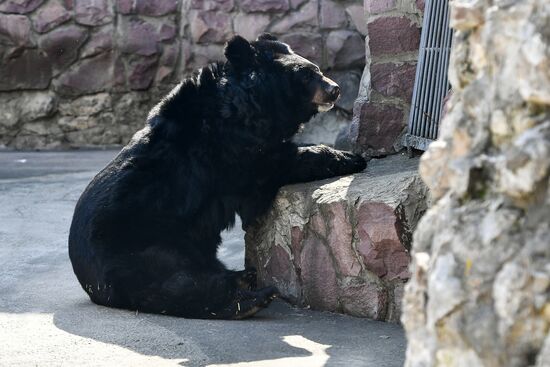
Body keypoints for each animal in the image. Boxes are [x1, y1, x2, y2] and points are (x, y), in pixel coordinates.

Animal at [70, 36, 366, 320]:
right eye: (305, 74)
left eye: (316, 69)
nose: (335, 88)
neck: (247, 105)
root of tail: (89, 282)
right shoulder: (227, 149)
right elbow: (273, 165)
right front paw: (351, 157)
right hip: (142, 245)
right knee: (176, 282)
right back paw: (251, 298)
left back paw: (243, 278)